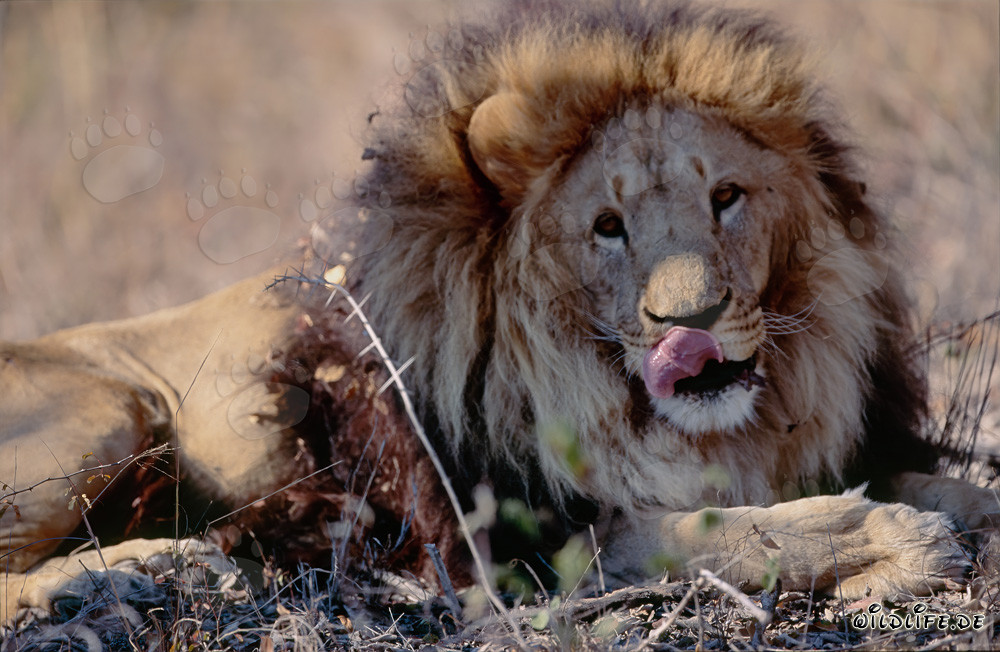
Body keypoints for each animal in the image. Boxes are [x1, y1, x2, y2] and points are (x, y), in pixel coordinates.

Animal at [2, 1, 998, 624]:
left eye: (726, 197)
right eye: (607, 227)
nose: (694, 324)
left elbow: (951, 487)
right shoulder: (535, 542)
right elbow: (732, 531)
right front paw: (898, 542)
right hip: (111, 406)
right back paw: (123, 578)